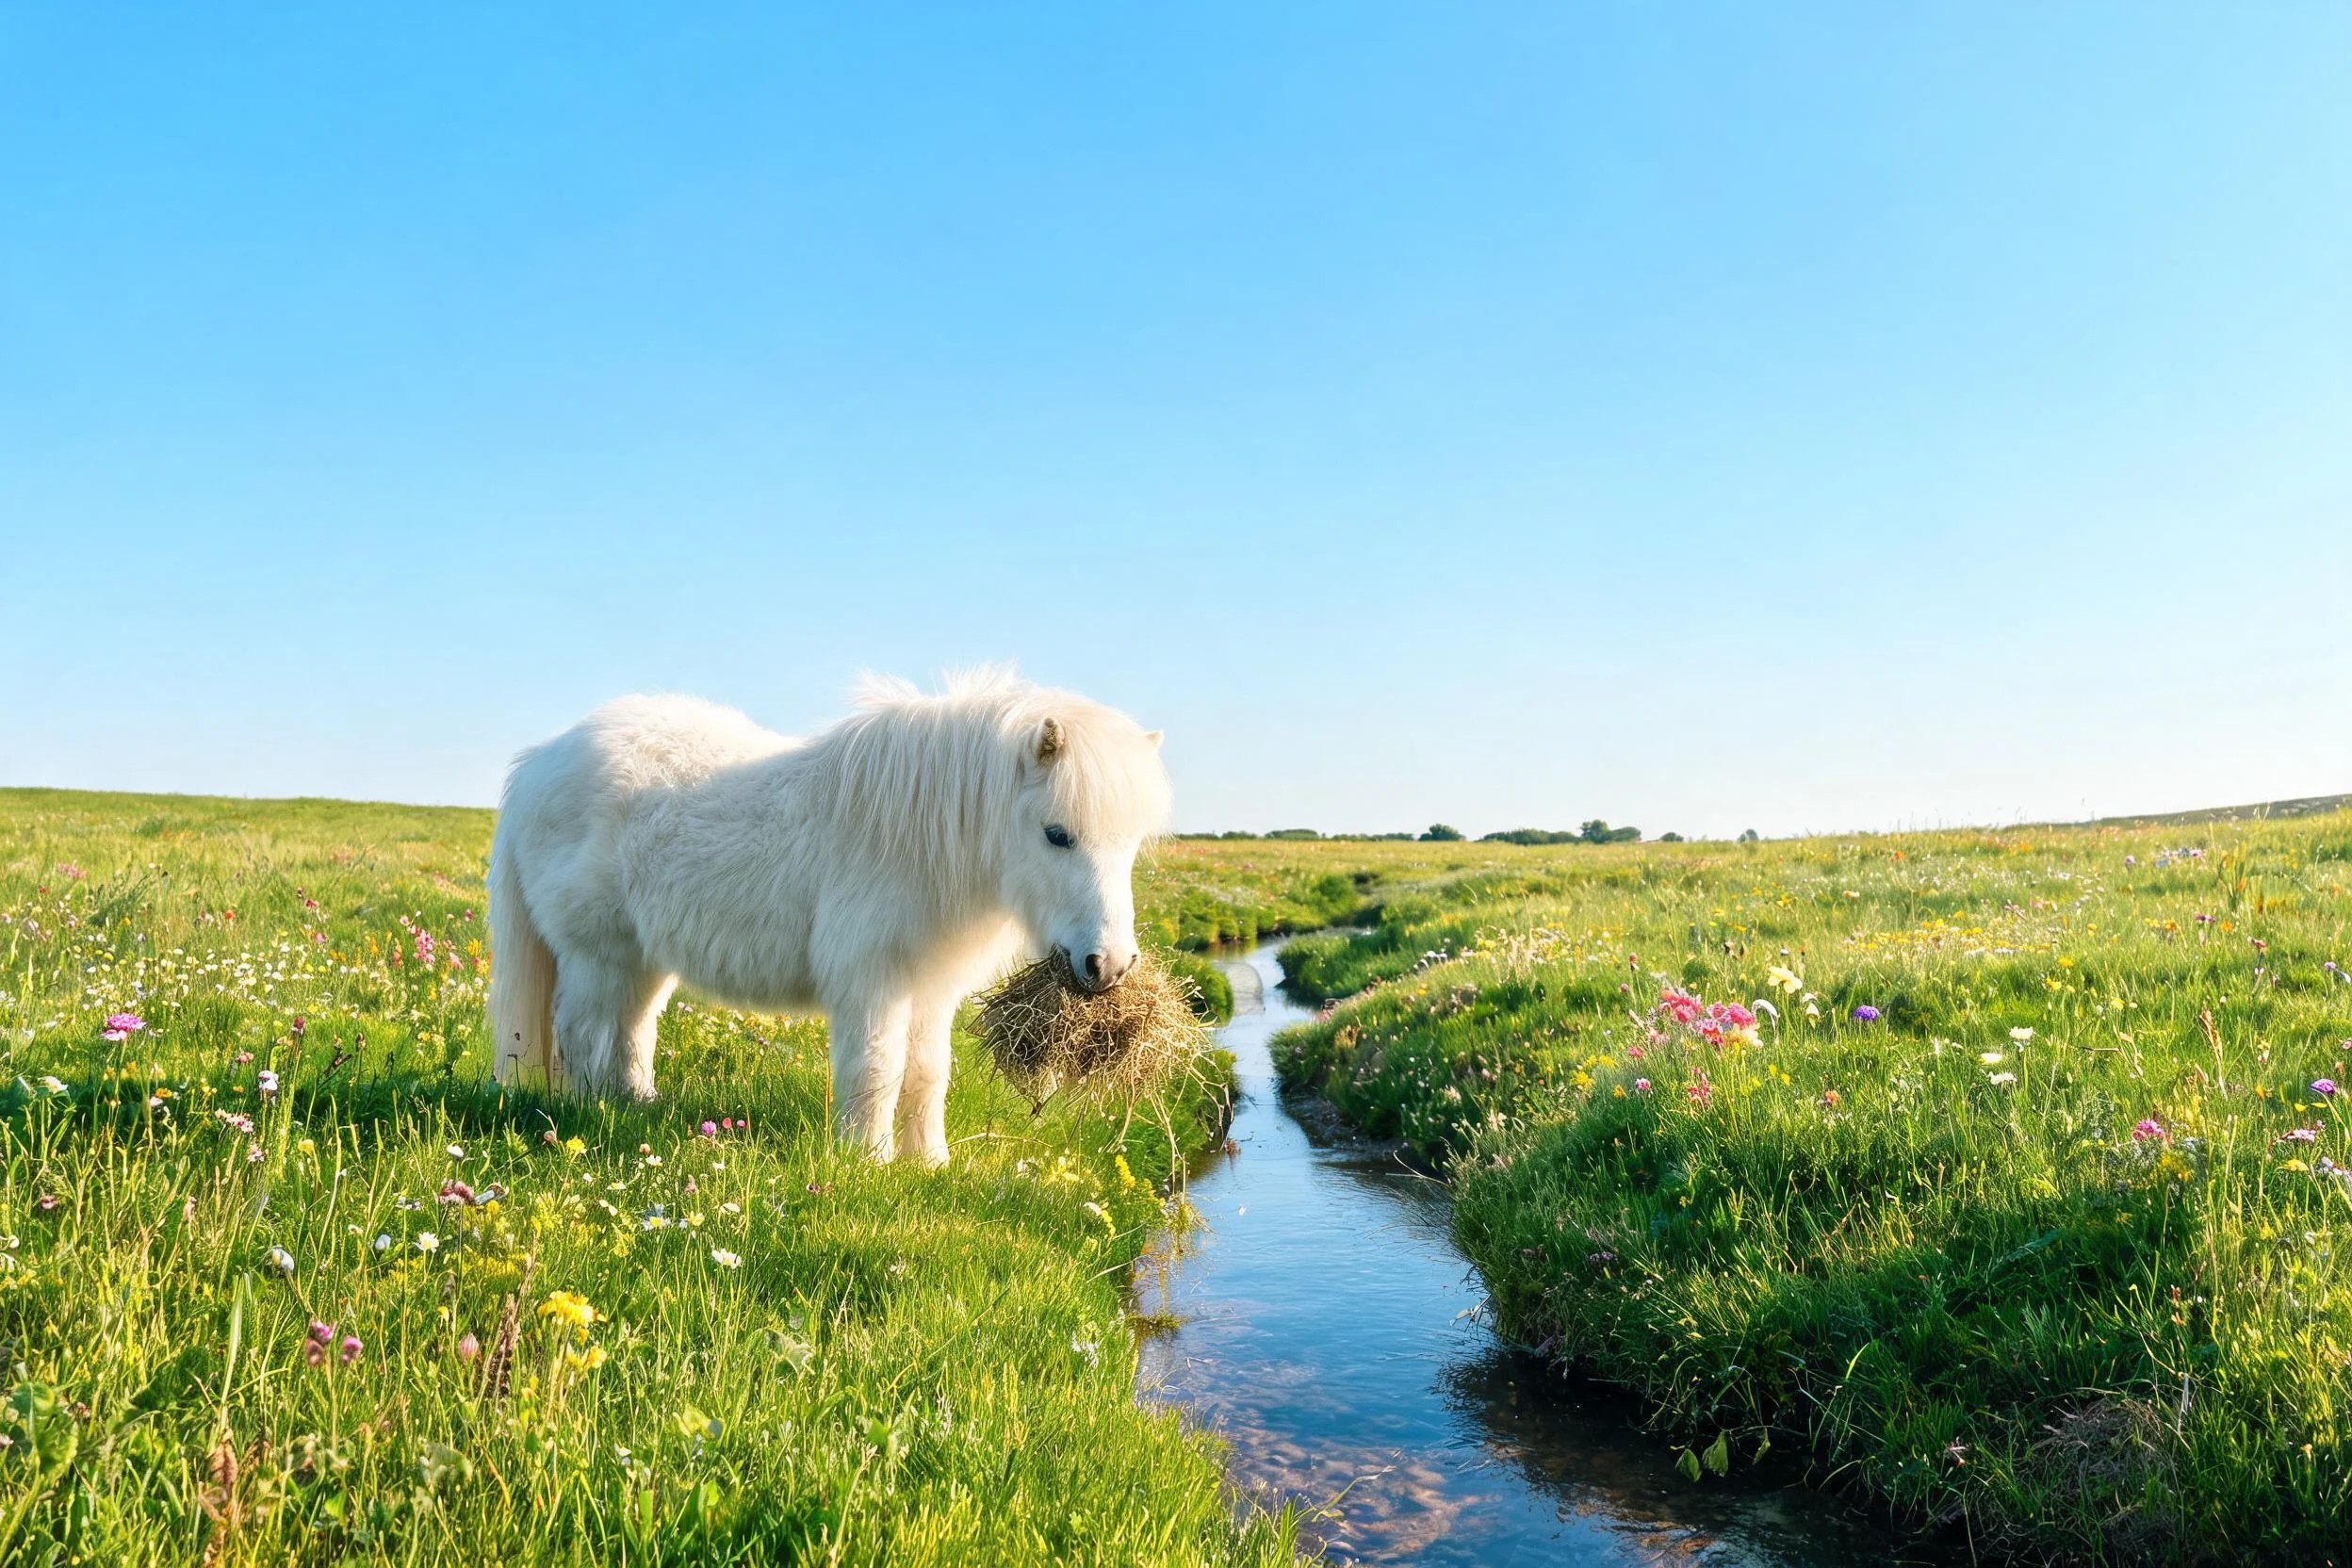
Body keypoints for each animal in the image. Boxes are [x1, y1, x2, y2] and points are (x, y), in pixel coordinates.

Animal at [485, 670, 1170, 1165]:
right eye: (1057, 834)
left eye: (1131, 842)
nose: (1109, 965)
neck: (920, 836)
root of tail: (538, 763)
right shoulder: (873, 981)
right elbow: (877, 1068)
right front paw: (869, 1161)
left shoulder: (931, 987)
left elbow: (927, 1074)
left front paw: (931, 1164)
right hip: (595, 954)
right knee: (583, 1032)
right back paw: (590, 1114)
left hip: (642, 959)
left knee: (630, 1029)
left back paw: (637, 1106)